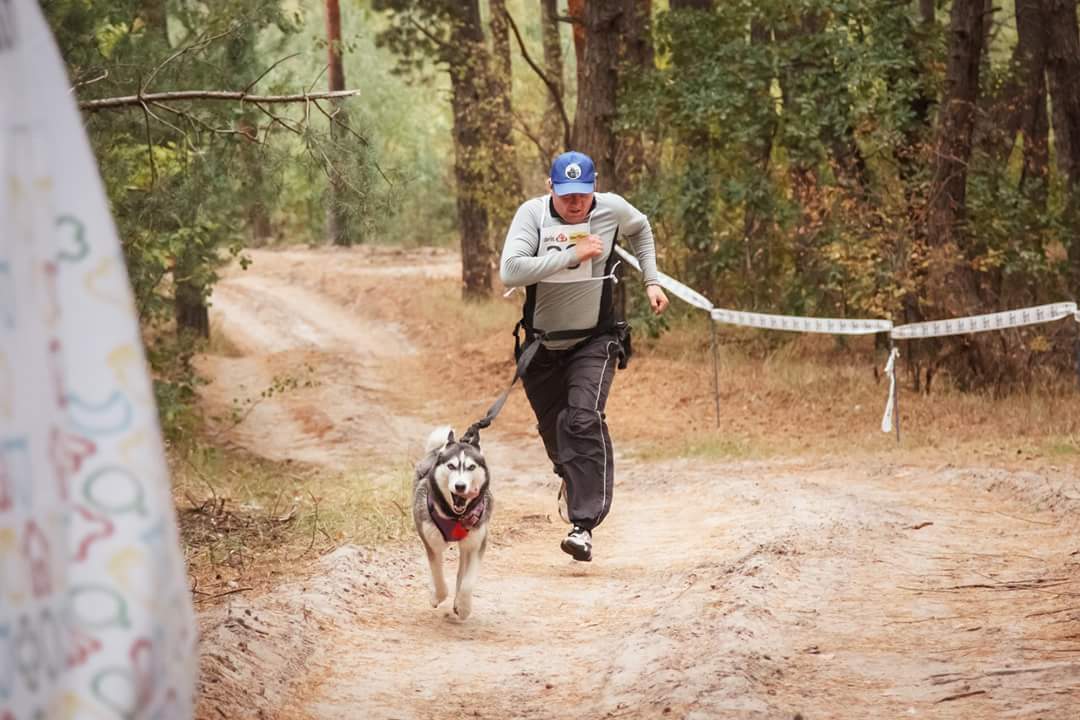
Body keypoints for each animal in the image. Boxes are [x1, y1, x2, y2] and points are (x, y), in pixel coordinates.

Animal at [412, 426, 493, 620]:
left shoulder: (476, 543)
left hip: (466, 543)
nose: (460, 486)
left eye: (471, 467)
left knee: (461, 570)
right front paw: (435, 597)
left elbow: (468, 581)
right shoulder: (431, 542)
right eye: (451, 466)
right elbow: (438, 577)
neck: (455, 516)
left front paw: (463, 607)